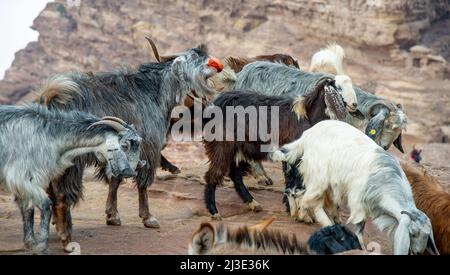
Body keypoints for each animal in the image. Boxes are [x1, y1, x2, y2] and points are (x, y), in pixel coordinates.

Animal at [0, 105, 142, 254]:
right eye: (124, 145)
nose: (129, 171)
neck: (48, 134)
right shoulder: (21, 178)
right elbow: (45, 205)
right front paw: (41, 247)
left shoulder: (28, 182)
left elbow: (28, 209)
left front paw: (30, 243)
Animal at [37, 43, 222, 248]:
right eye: (194, 58)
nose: (217, 65)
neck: (152, 93)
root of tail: (50, 100)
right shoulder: (147, 148)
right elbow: (142, 183)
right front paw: (148, 218)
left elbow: (115, 180)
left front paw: (112, 215)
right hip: (71, 161)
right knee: (61, 193)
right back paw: (65, 234)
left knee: (50, 190)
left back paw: (55, 224)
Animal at [270, 121, 440, 256]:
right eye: (412, 233)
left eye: (427, 236)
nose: (417, 252)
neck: (387, 180)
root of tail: (307, 135)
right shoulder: (358, 200)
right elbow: (359, 225)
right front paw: (361, 247)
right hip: (319, 175)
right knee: (312, 201)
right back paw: (314, 218)